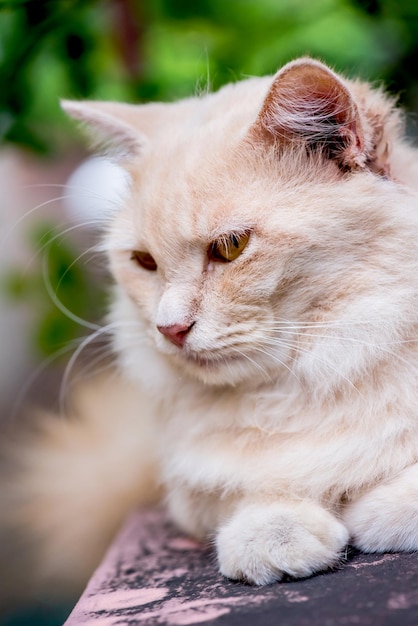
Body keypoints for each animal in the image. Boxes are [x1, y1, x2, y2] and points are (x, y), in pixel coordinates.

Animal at [4, 56, 418, 596]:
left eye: (230, 248)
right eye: (144, 262)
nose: (170, 329)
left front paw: (380, 509)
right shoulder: (191, 489)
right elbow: (249, 490)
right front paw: (273, 532)